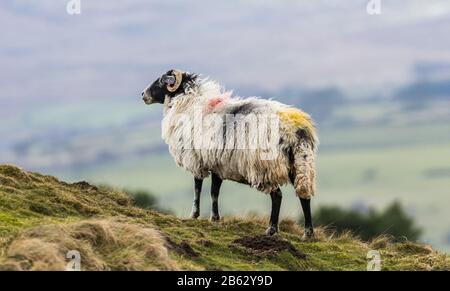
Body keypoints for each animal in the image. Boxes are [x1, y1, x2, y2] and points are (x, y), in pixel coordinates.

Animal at [142, 69, 318, 238]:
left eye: (161, 82)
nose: (143, 95)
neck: (189, 104)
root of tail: (294, 128)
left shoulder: (197, 160)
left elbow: (197, 188)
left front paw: (194, 215)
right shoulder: (217, 164)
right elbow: (214, 192)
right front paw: (214, 218)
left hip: (265, 167)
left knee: (277, 196)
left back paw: (271, 230)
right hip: (301, 163)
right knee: (304, 195)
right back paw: (308, 233)